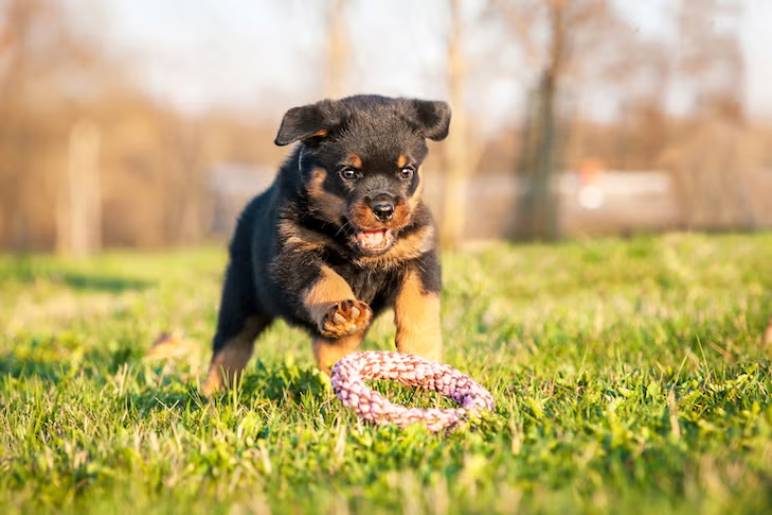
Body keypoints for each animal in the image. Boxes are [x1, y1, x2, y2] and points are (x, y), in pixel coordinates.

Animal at [202, 94, 450, 396]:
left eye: (406, 171)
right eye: (349, 172)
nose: (384, 209)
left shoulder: (419, 255)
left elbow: (420, 305)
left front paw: (423, 357)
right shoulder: (292, 254)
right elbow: (324, 279)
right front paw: (342, 309)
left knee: (331, 346)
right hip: (241, 296)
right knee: (231, 346)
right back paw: (212, 394)